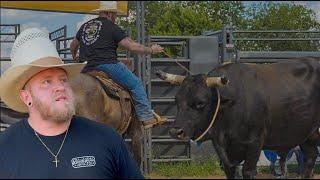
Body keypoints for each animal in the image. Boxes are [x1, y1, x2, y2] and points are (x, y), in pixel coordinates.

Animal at [156, 58, 320, 179]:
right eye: (177, 100)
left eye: (200, 103)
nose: (176, 132)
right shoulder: (221, 148)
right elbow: (230, 170)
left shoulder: (255, 143)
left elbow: (248, 171)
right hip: (308, 135)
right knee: (310, 157)